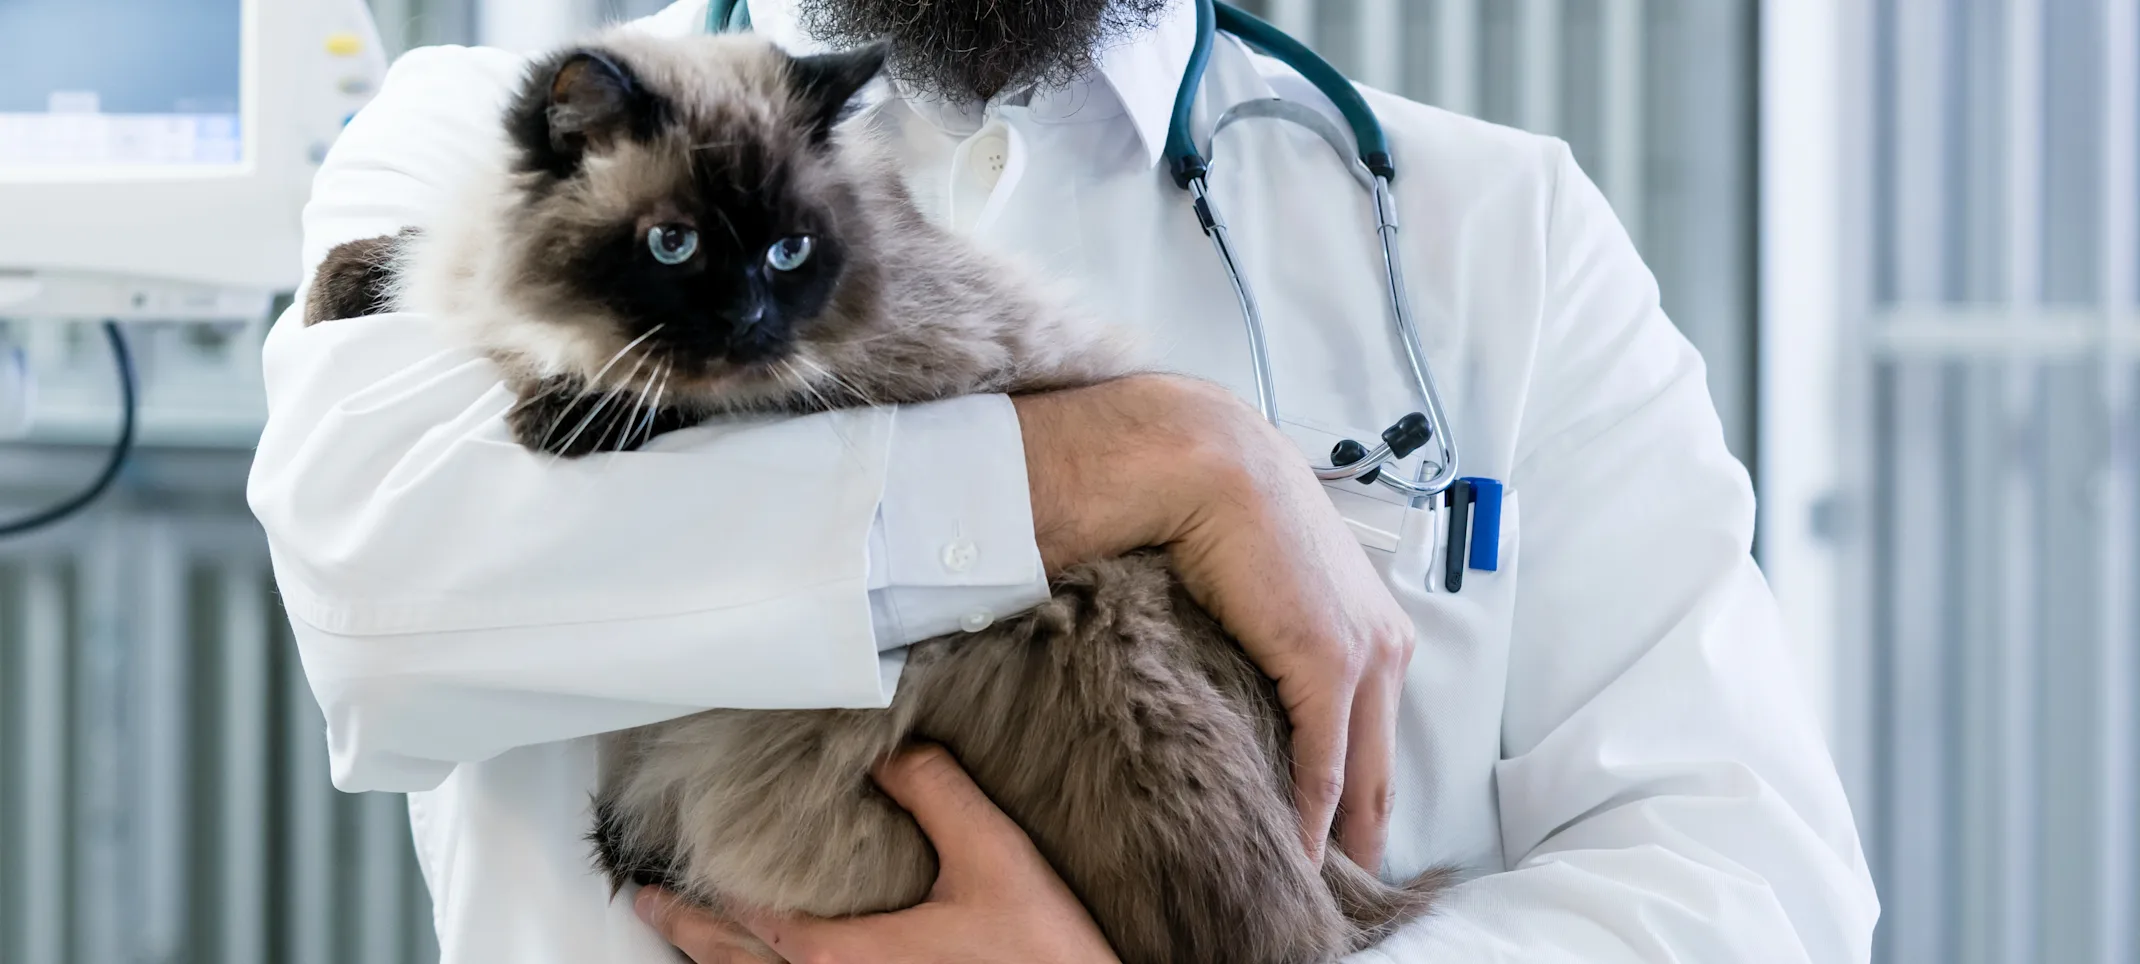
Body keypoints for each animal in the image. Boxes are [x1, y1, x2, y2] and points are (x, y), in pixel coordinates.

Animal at [306, 28, 1455, 964]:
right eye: (674, 245)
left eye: (788, 251)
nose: (749, 321)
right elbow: (406, 262)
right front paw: (342, 288)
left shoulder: (877, 366)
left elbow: (679, 393)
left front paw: (570, 413)